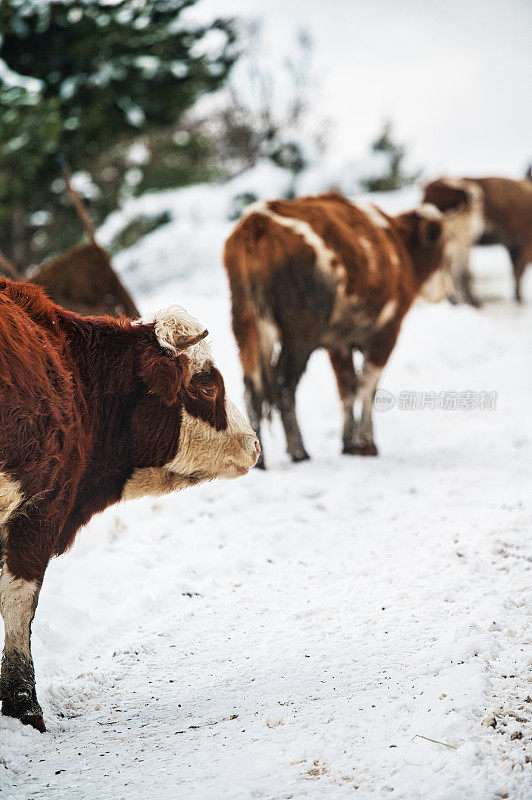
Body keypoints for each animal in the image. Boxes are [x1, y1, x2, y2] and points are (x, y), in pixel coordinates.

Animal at [224, 191, 448, 468]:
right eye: (441, 246)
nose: (444, 288)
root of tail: (255, 222)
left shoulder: (339, 342)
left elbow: (347, 386)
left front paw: (348, 443)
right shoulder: (387, 331)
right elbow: (367, 385)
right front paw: (366, 444)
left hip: (245, 324)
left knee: (252, 386)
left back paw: (261, 458)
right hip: (299, 335)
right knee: (284, 384)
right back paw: (299, 451)